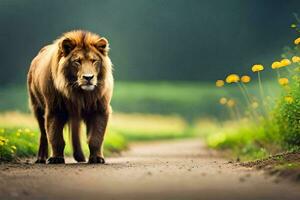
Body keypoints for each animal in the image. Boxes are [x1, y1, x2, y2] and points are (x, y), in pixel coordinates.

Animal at [27, 30, 113, 164]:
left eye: (94, 60)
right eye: (77, 61)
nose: (88, 77)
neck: (79, 93)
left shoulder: (100, 109)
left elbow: (96, 138)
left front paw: (97, 158)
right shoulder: (54, 109)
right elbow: (55, 137)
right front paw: (56, 158)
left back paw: (80, 157)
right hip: (37, 107)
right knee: (43, 134)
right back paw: (41, 158)